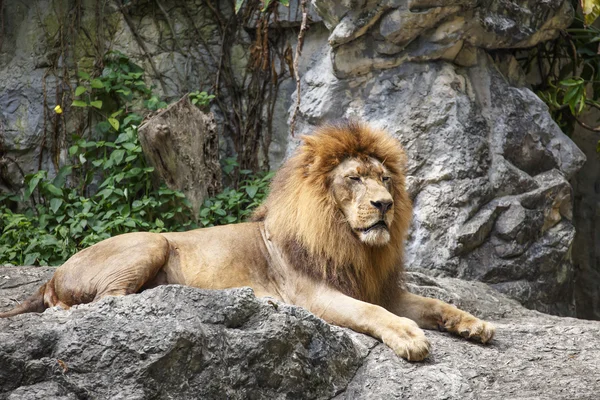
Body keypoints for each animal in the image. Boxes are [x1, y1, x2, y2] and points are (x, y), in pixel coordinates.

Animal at [2, 120, 494, 360]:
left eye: (386, 179)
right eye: (354, 179)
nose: (385, 205)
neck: (350, 241)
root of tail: (50, 277)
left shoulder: (380, 287)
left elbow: (436, 303)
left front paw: (476, 324)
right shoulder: (315, 294)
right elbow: (372, 314)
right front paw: (410, 338)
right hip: (150, 242)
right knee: (98, 302)